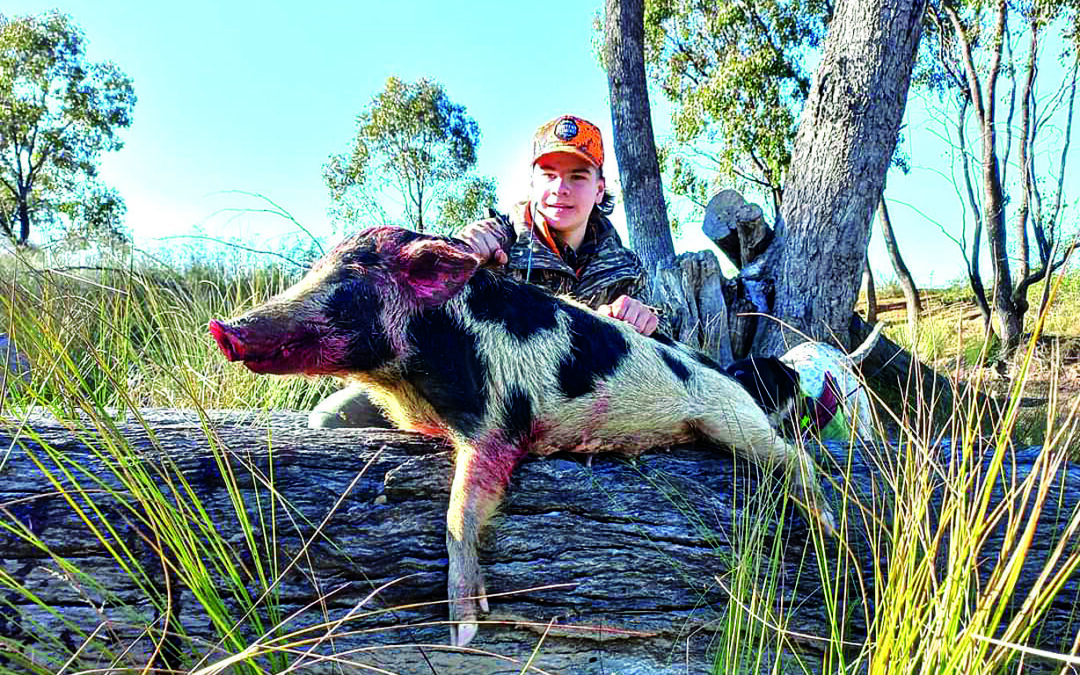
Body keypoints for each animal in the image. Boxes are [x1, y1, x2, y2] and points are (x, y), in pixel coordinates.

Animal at [208, 226, 836, 647]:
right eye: (317, 269)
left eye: (349, 281)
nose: (225, 327)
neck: (412, 381)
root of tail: (724, 371)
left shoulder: (498, 422)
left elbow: (461, 509)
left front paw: (463, 630)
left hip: (730, 421)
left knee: (797, 458)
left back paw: (829, 528)